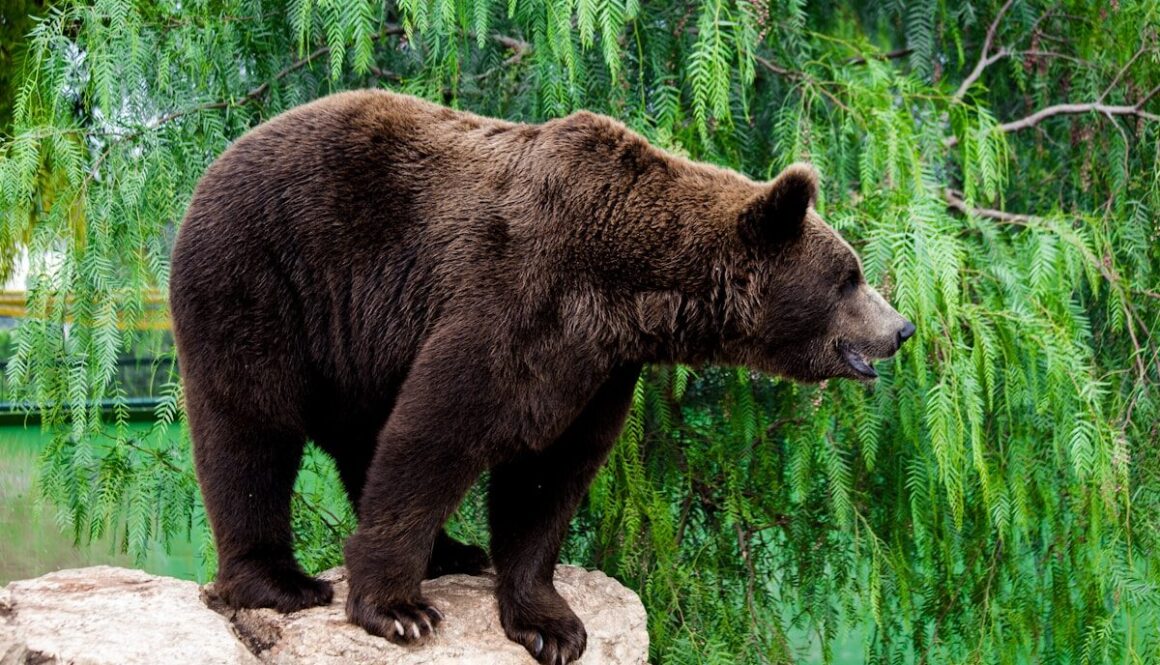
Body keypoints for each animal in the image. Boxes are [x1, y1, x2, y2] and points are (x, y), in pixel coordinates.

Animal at [169, 89, 914, 664]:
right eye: (850, 276)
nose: (902, 327)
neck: (631, 287)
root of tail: (218, 160)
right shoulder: (516, 303)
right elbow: (436, 435)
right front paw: (400, 610)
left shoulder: (600, 368)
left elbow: (547, 477)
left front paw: (550, 624)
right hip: (264, 280)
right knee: (251, 429)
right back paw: (281, 582)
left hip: (356, 341)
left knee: (358, 437)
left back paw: (454, 550)